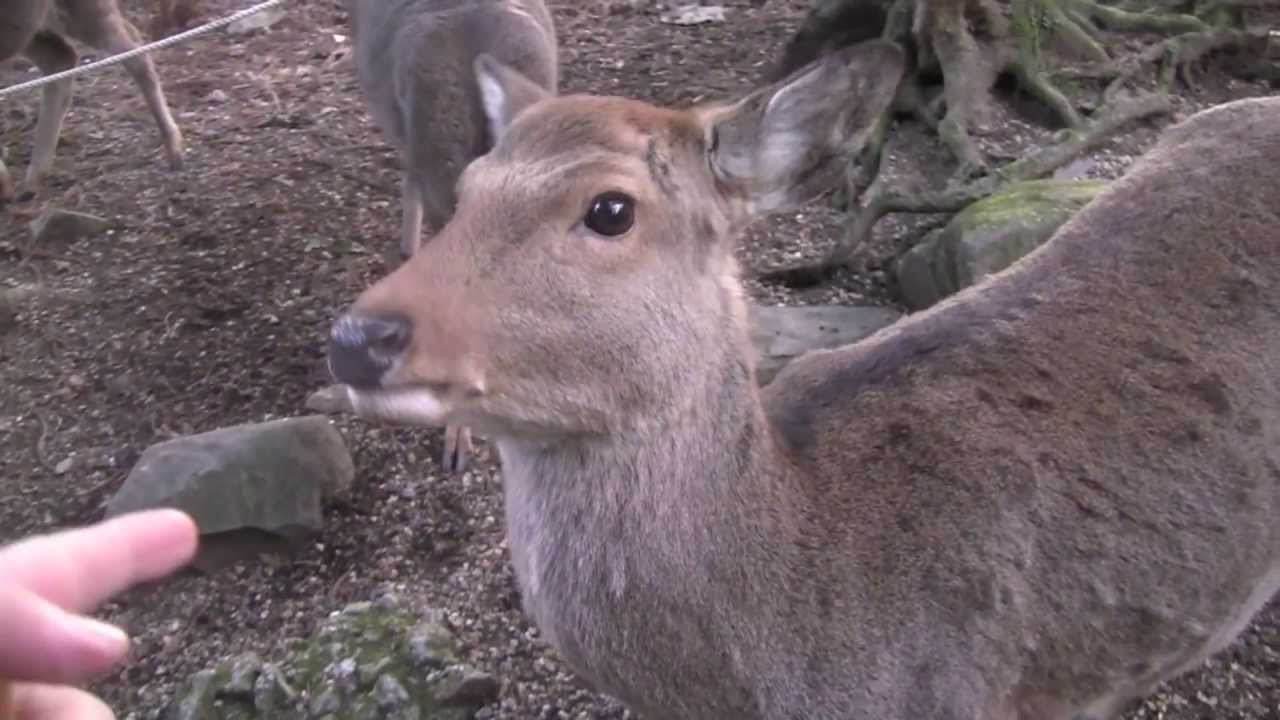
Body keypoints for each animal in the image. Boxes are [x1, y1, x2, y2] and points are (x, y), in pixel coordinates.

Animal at [0, 0, 185, 202]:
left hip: (82, 10)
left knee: (132, 48)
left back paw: (174, 151)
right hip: (32, 28)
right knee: (60, 57)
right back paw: (31, 183)